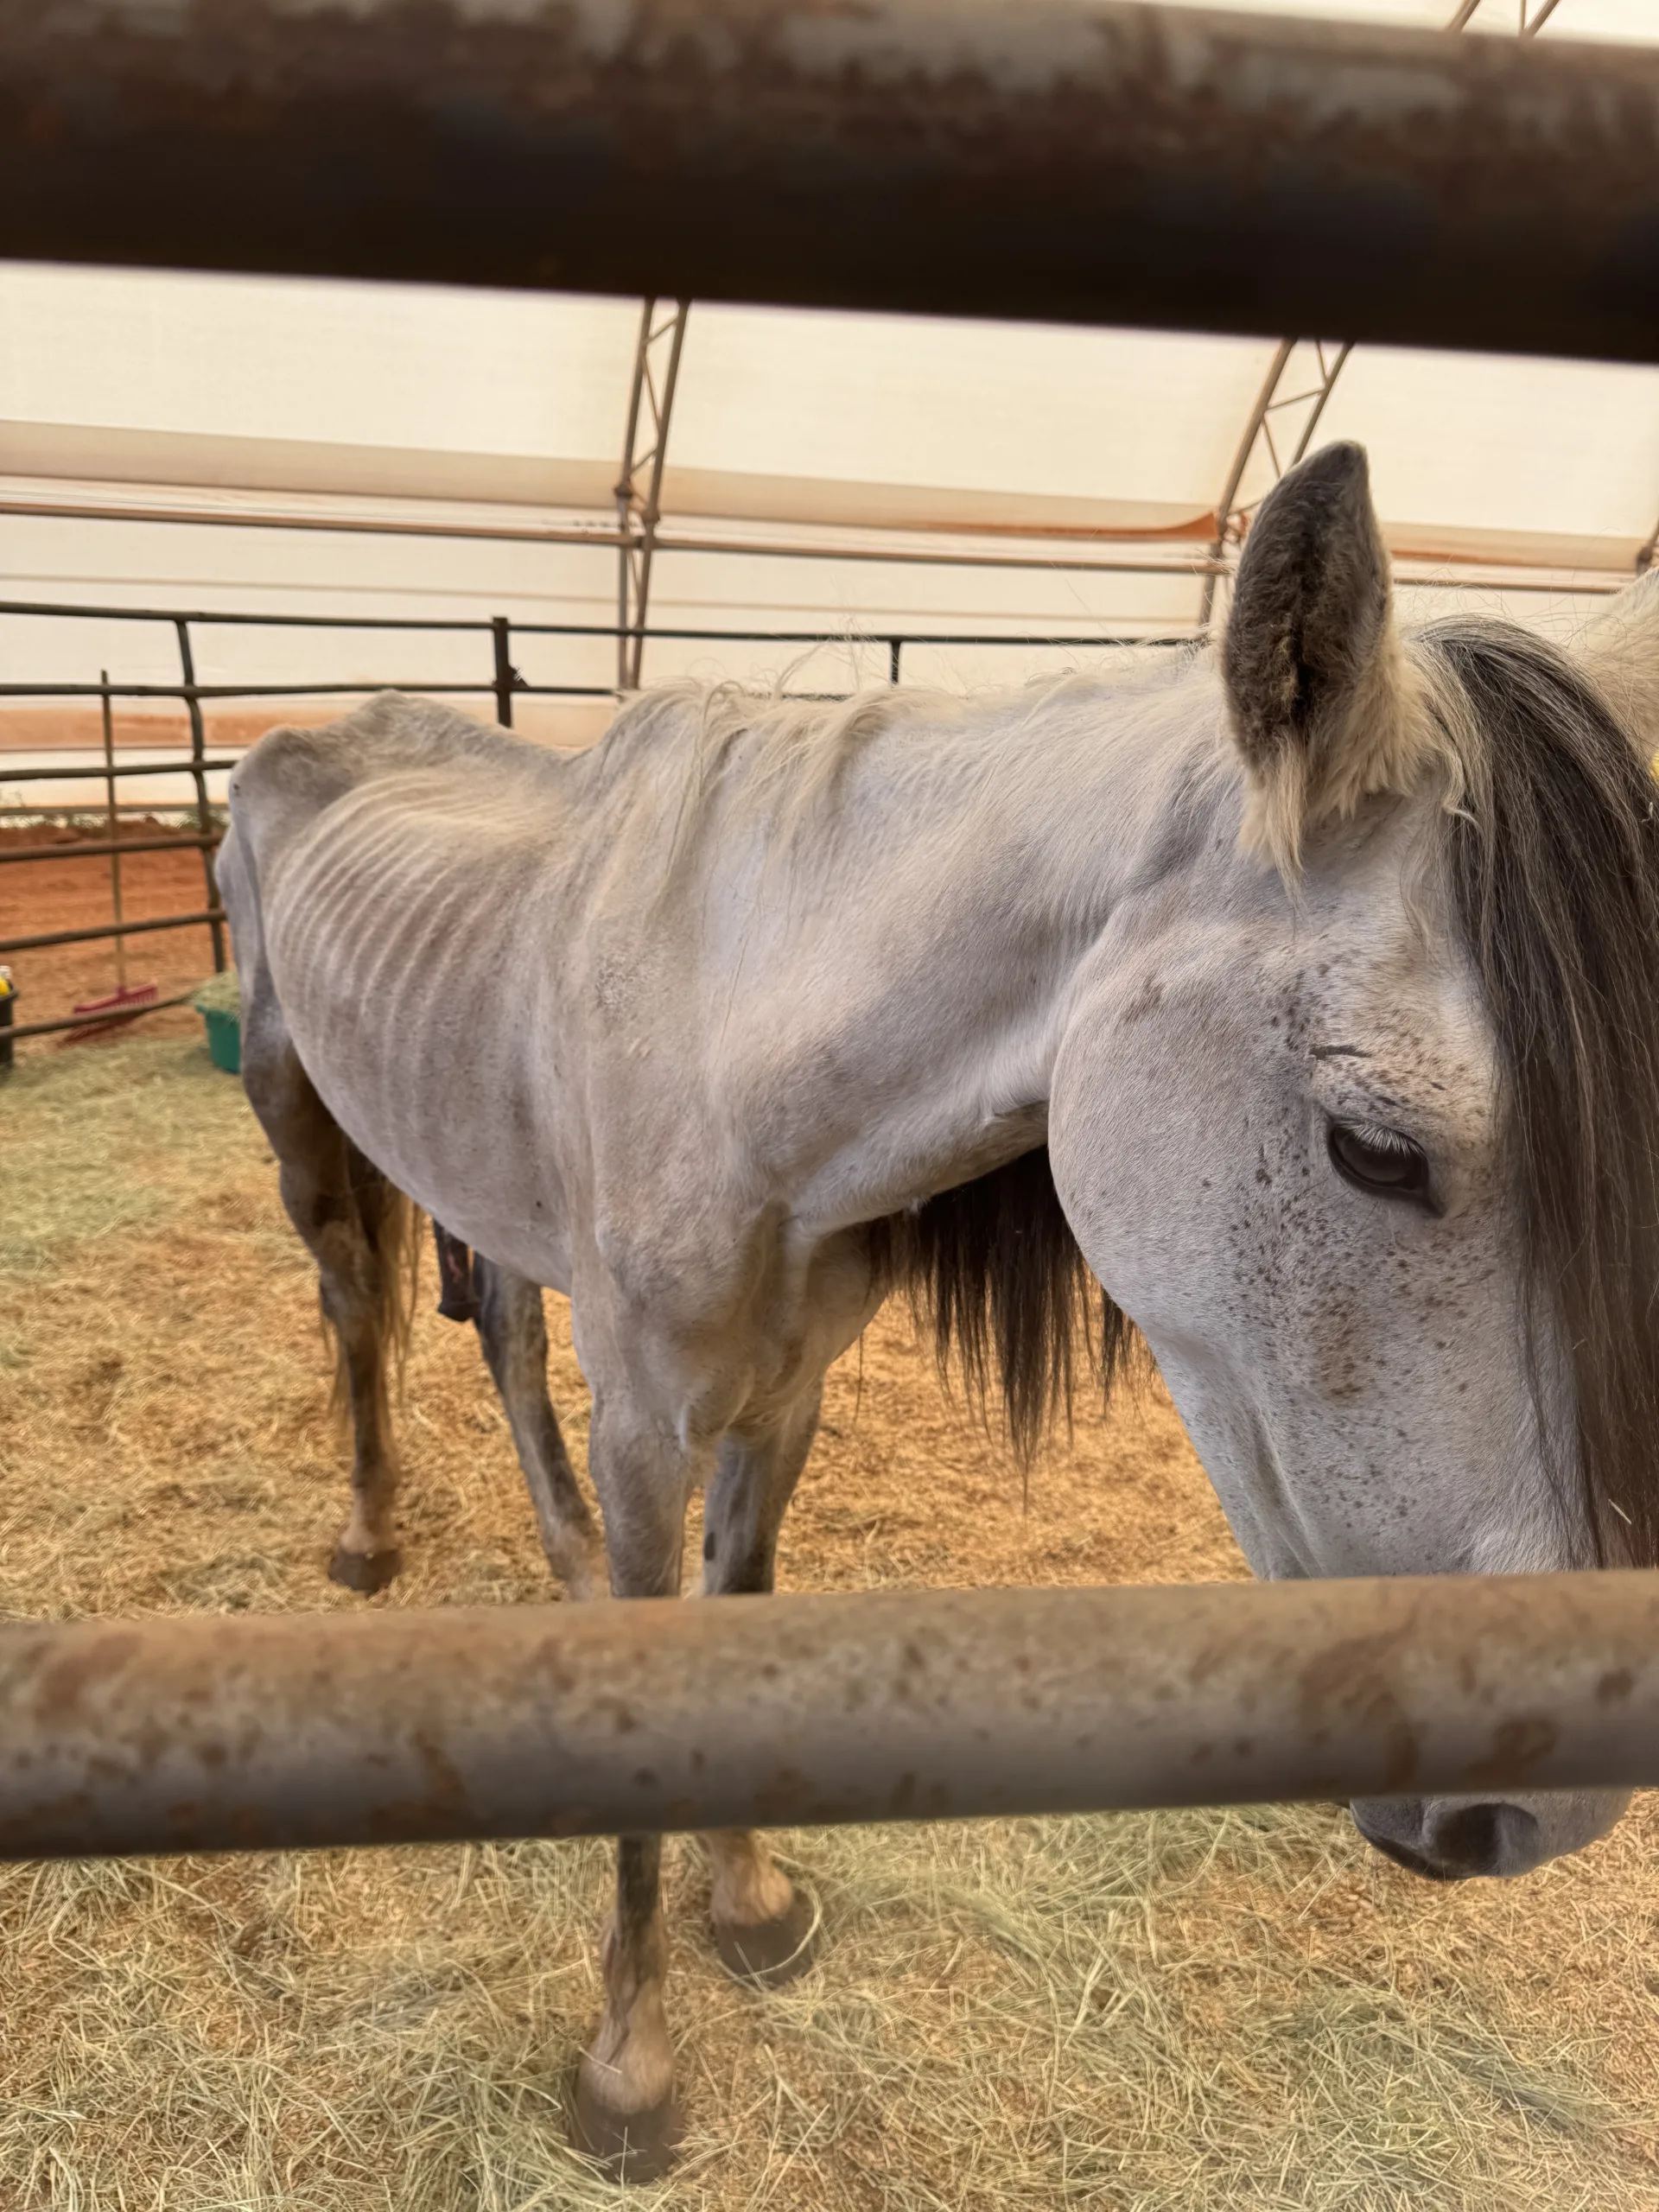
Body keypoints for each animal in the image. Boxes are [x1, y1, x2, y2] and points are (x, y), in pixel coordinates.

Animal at [218, 441, 1659, 2179]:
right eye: (1377, 1149)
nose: (1552, 1792)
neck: (727, 1028)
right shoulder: (651, 1423)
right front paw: (628, 2069)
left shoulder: (782, 1401)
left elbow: (731, 1624)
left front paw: (751, 1903)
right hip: (295, 1105)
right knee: (356, 1308)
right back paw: (368, 1536)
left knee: (494, 1323)